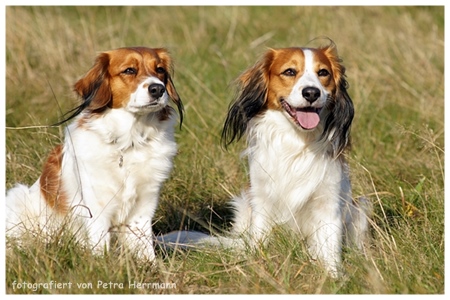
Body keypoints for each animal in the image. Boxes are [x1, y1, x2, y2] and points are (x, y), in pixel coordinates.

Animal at [5, 46, 183, 260]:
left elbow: (145, 249)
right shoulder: (97, 207)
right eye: (129, 70)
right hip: (17, 197)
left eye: (160, 70)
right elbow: (100, 245)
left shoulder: (143, 207)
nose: (158, 89)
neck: (128, 143)